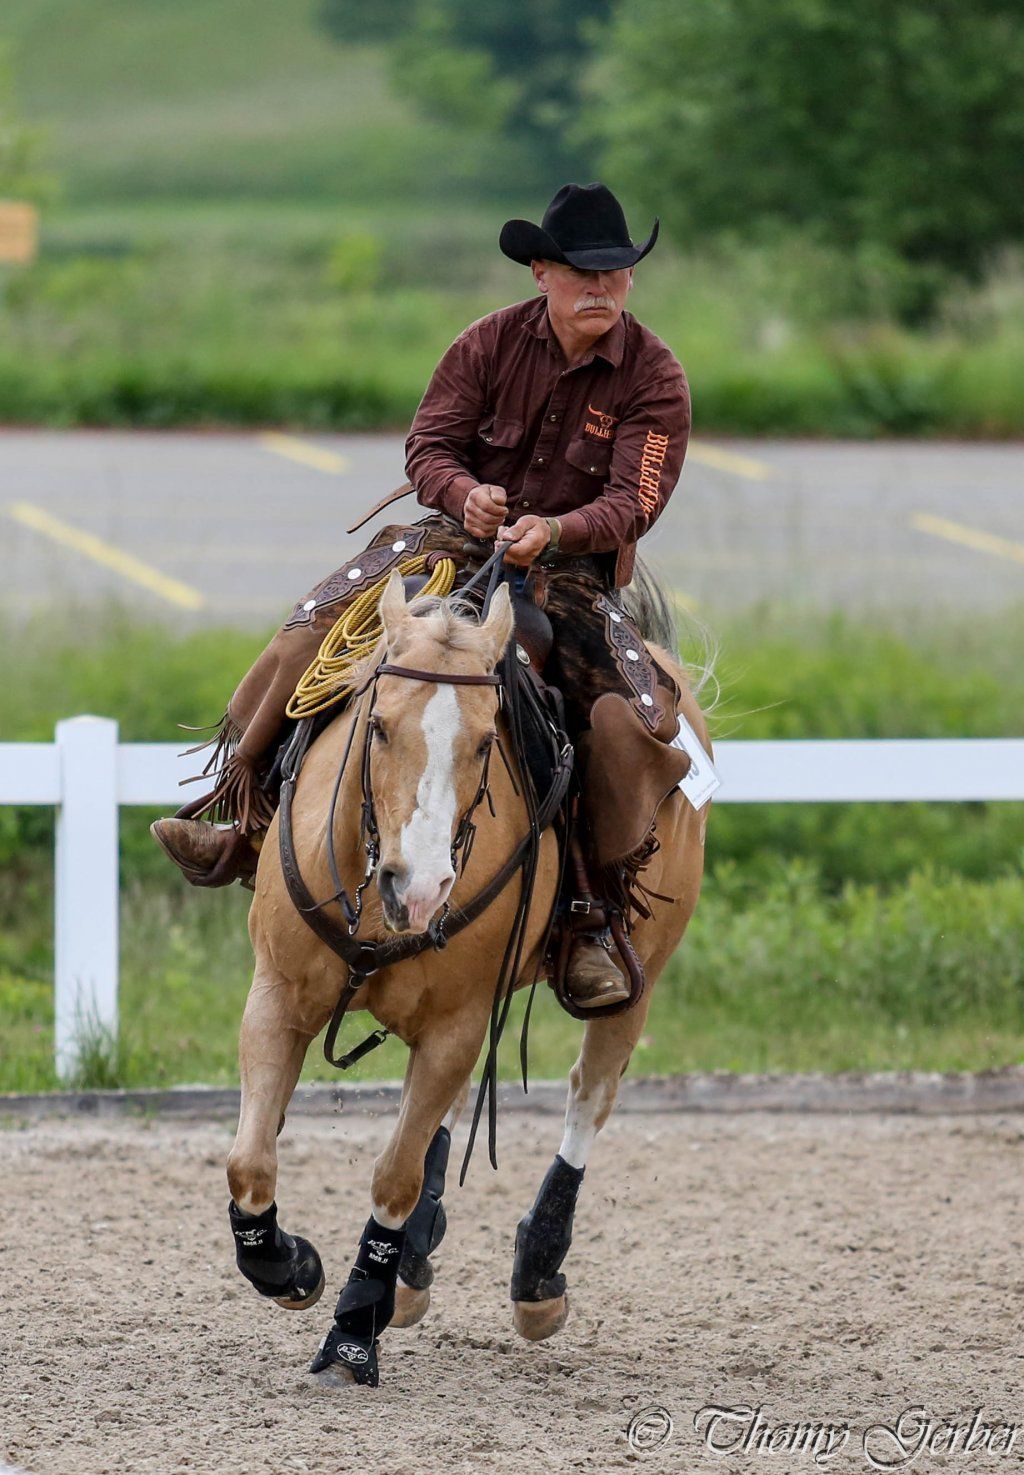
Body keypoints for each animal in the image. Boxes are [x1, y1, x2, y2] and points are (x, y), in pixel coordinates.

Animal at [224, 569, 710, 1386]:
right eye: (379, 725)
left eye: (487, 740)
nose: (419, 888)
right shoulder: (276, 999)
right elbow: (250, 1165)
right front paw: (292, 1267)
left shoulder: (454, 1024)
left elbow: (393, 1175)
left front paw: (352, 1330)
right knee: (445, 1116)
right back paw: (413, 1266)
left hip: (633, 982)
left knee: (589, 1097)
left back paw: (536, 1272)